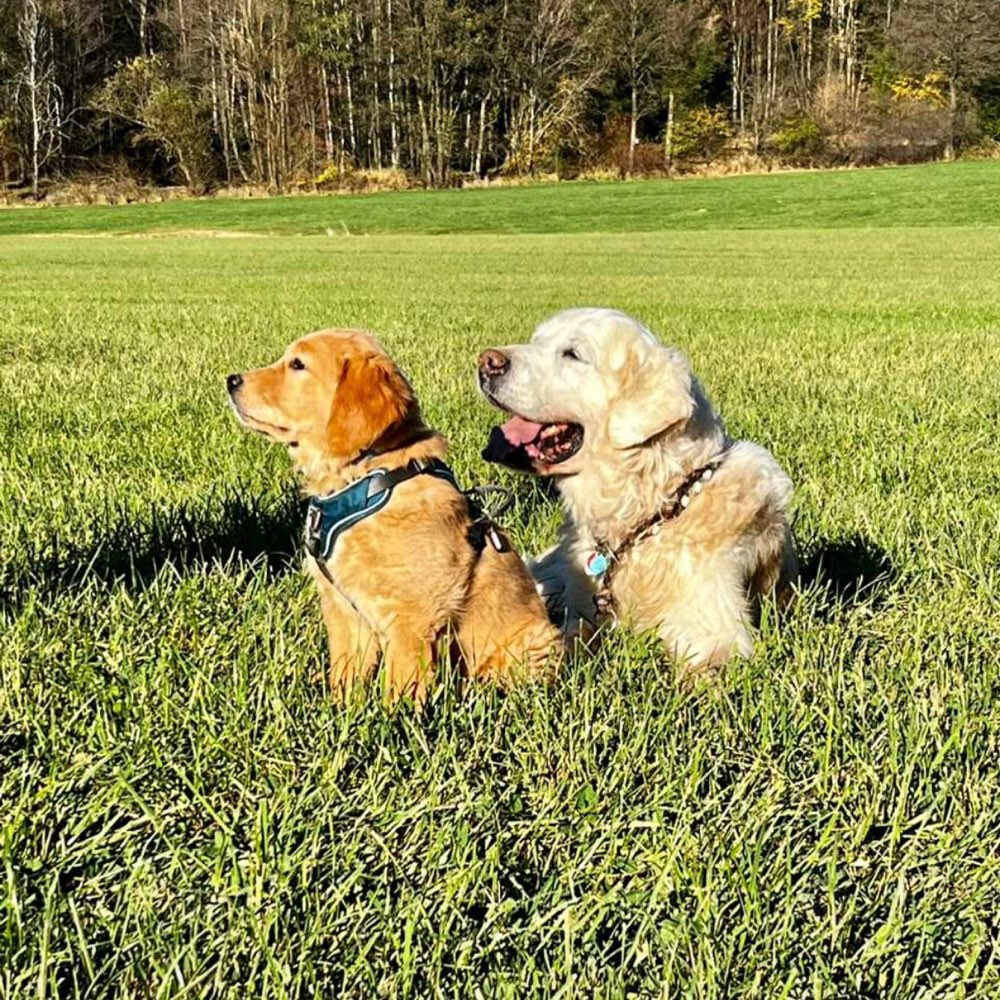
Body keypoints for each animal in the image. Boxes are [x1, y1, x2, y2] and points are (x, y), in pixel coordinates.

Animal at [229, 328, 564, 704]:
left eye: (298, 364)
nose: (231, 380)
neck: (365, 481)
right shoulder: (345, 613)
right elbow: (345, 672)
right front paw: (341, 708)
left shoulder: (411, 618)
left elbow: (401, 683)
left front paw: (393, 717)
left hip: (535, 644)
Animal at [476, 308, 796, 676]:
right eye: (536, 340)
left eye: (572, 354)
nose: (486, 361)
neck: (655, 508)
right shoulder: (583, 608)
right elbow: (569, 633)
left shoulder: (718, 634)